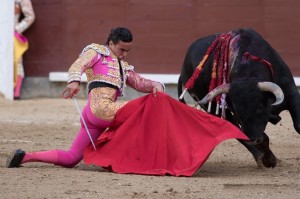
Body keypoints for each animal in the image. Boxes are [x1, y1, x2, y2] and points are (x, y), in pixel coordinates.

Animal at [178, 28, 300, 168]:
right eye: (237, 110)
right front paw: (269, 160)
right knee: (237, 131)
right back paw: (261, 158)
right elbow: (259, 137)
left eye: (260, 107)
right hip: (213, 109)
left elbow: (298, 125)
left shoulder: (291, 93)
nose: (253, 138)